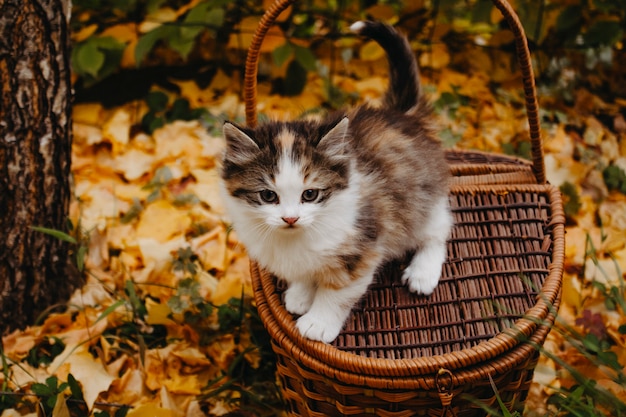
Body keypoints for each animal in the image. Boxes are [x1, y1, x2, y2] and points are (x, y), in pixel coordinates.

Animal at [218, 20, 448, 342]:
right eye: (268, 196)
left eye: (310, 194)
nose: (290, 218)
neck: (296, 236)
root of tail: (401, 114)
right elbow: (304, 270)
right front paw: (301, 293)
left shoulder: (362, 243)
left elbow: (338, 291)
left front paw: (318, 323)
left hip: (421, 196)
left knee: (439, 227)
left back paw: (423, 271)